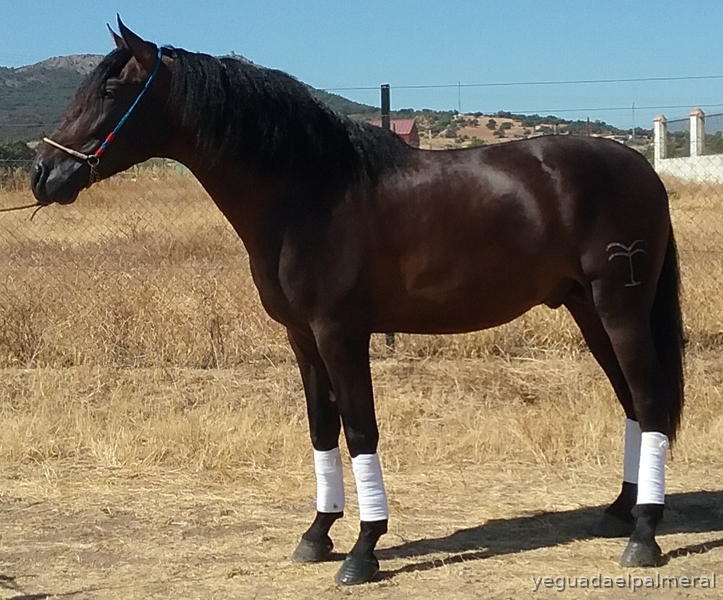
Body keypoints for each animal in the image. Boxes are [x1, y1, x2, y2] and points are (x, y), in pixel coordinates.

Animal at [31, 19, 684, 586]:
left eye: (111, 88)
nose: (43, 173)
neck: (308, 193)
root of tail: (641, 167)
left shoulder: (340, 333)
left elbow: (360, 429)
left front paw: (364, 549)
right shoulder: (301, 336)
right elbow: (323, 429)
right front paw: (318, 533)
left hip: (620, 310)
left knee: (650, 402)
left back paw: (644, 536)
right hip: (589, 311)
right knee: (633, 403)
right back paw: (621, 511)